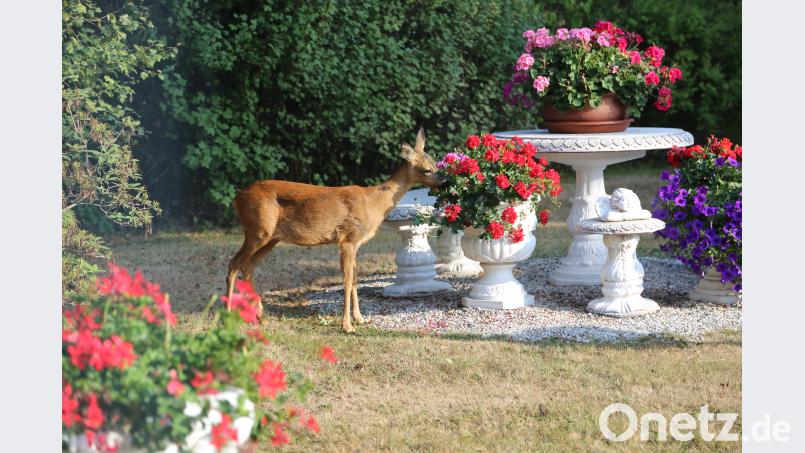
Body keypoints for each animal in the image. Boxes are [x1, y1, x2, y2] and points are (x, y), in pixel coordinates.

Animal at [225, 128, 445, 332]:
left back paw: (260, 317)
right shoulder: (347, 239)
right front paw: (347, 325)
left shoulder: (357, 244)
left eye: (436, 162)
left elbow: (355, 279)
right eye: (427, 170)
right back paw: (227, 314)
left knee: (248, 266)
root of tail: (238, 197)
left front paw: (360, 319)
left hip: (271, 238)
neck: (374, 202)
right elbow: (347, 281)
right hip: (257, 230)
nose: (444, 181)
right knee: (235, 263)